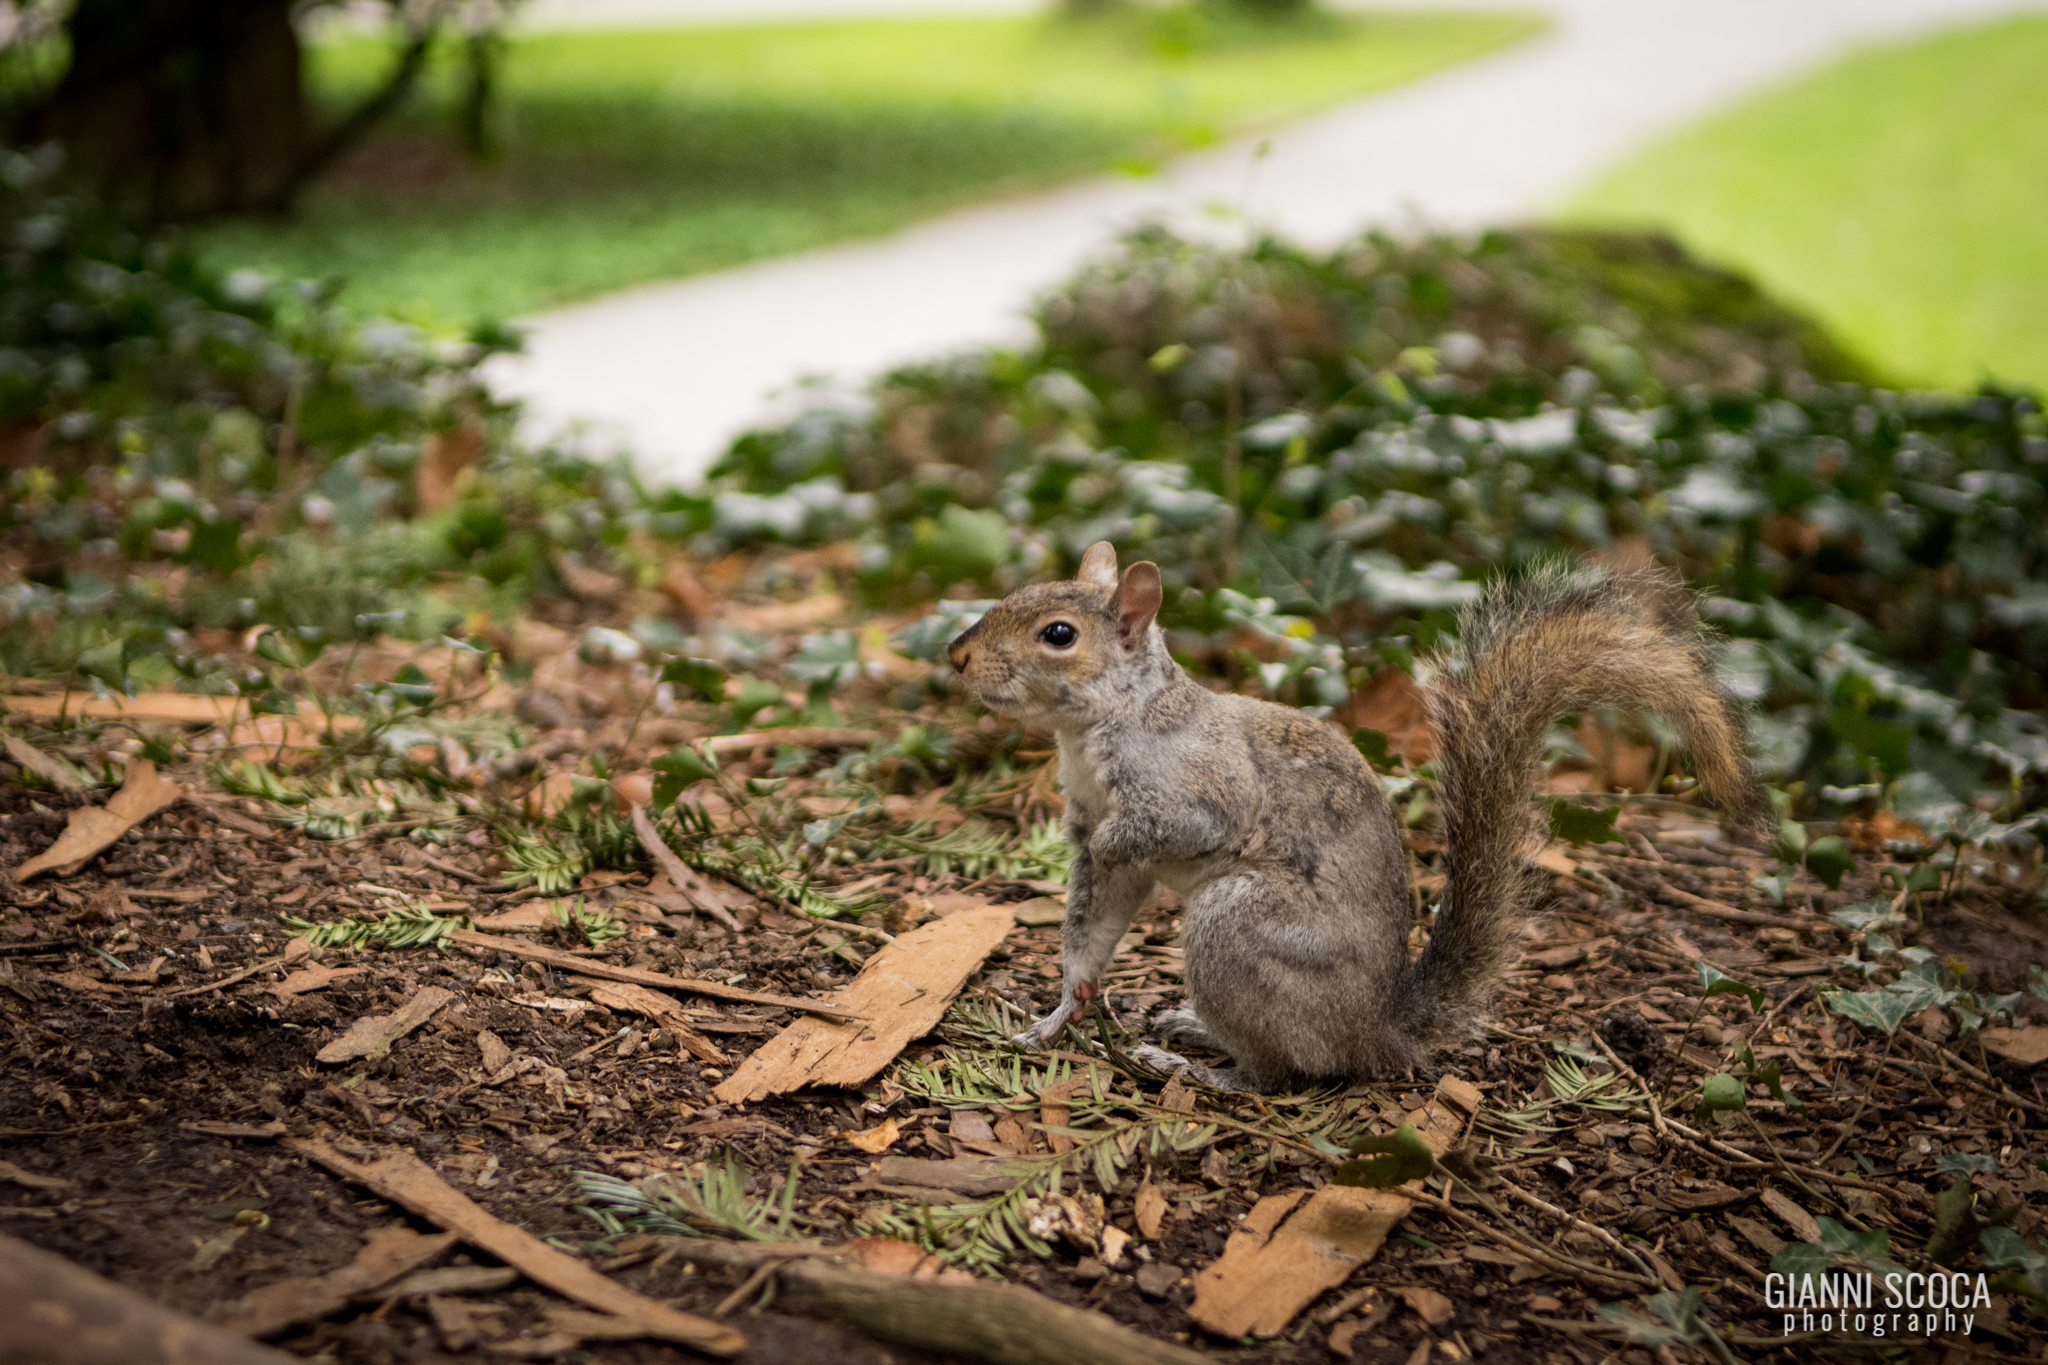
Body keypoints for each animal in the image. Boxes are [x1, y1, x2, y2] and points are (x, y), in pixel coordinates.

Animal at [946, 542, 1772, 1091]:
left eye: (1059, 633)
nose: (956, 656)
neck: (1102, 724)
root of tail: (1376, 1028)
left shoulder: (1200, 788)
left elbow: (1177, 829)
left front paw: (1117, 840)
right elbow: (1093, 925)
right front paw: (1064, 1009)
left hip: (1237, 928)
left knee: (1280, 1074)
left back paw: (1198, 1065)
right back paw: (1189, 1026)